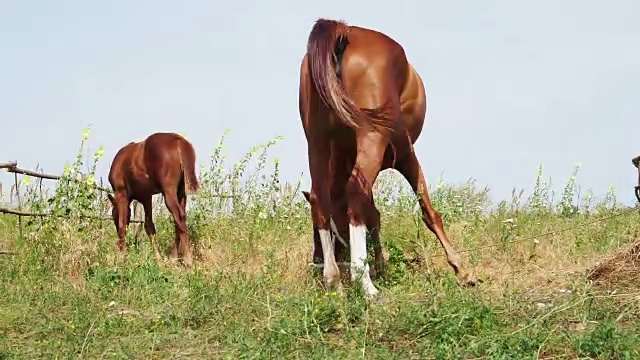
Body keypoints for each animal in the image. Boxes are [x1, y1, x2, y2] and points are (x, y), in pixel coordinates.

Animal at [107, 132, 200, 268]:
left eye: (113, 215)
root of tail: (179, 142)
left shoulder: (122, 194)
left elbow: (122, 225)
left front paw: (121, 257)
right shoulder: (146, 197)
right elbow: (149, 226)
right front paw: (158, 259)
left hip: (169, 192)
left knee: (179, 217)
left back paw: (187, 259)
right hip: (181, 192)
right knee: (179, 220)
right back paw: (173, 257)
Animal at [298, 17, 476, 298]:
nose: (316, 260)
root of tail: (343, 32)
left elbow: (373, 215)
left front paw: (380, 265)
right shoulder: (406, 156)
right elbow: (427, 211)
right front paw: (461, 269)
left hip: (316, 141)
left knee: (321, 197)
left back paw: (333, 278)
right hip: (372, 137)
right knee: (355, 194)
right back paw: (365, 285)